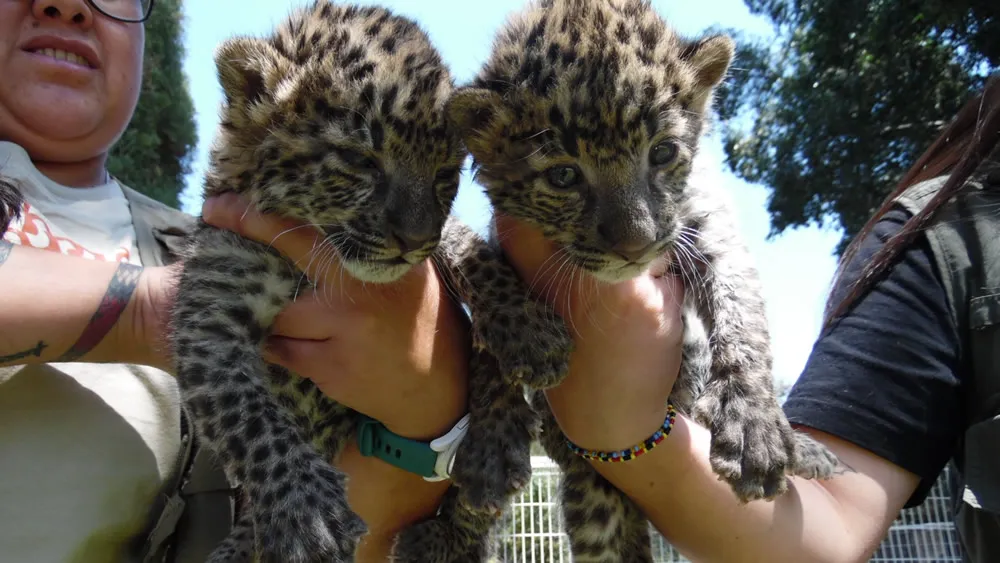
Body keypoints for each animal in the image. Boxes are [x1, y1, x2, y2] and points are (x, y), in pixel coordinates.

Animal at [444, 0, 845, 560]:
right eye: (563, 176)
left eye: (662, 152)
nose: (635, 246)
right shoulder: (503, 244)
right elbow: (485, 326)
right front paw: (490, 444)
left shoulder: (708, 220)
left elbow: (742, 311)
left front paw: (754, 429)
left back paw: (806, 450)